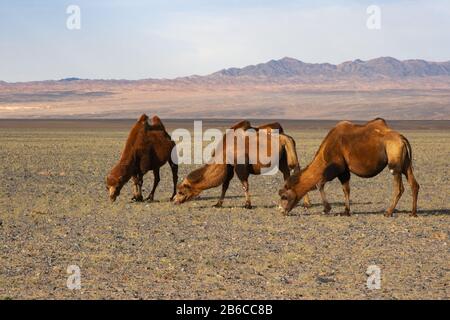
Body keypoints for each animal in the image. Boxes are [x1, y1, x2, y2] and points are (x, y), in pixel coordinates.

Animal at [172, 120, 310, 208]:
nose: (174, 200)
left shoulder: (240, 165)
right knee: (287, 174)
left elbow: (244, 185)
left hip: (289, 151)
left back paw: (307, 203)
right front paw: (218, 204)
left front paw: (248, 204)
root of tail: (288, 137)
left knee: (296, 169)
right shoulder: (229, 166)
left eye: (180, 192)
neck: (224, 150)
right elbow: (225, 185)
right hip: (282, 158)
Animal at [276, 118, 420, 218]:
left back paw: (388, 212)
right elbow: (346, 189)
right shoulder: (344, 171)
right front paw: (346, 211)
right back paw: (413, 213)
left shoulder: (336, 167)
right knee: (414, 184)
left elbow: (320, 184)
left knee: (399, 188)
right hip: (405, 164)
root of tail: (401, 138)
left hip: (394, 163)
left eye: (284, 196)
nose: (281, 211)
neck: (325, 153)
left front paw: (326, 209)